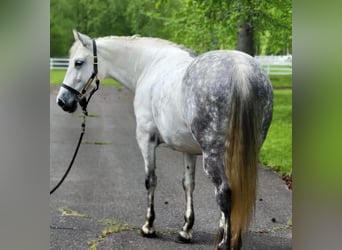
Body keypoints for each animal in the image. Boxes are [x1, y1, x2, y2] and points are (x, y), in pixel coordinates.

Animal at [57, 30, 274, 249]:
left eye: (78, 62)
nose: (62, 101)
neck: (148, 65)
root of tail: (241, 71)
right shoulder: (188, 149)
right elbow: (188, 184)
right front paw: (185, 230)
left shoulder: (146, 139)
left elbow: (150, 180)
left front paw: (148, 227)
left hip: (214, 154)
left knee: (224, 193)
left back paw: (224, 243)